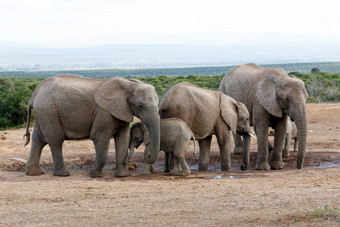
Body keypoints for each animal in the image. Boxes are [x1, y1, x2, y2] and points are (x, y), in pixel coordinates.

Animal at [23, 74, 161, 177]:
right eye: (140, 106)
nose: (148, 156)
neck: (129, 84)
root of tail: (34, 95)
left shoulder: (122, 110)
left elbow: (123, 138)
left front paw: (122, 176)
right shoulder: (103, 112)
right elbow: (99, 136)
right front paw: (94, 175)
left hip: (43, 112)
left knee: (38, 140)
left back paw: (34, 173)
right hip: (49, 111)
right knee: (55, 140)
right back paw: (63, 174)